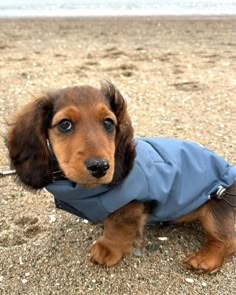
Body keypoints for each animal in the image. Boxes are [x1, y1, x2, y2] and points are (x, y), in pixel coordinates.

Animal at [6, 82, 235, 274]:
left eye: (108, 123)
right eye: (65, 124)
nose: (100, 167)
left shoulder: (130, 204)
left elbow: (116, 228)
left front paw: (106, 249)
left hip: (216, 204)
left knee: (227, 239)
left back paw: (205, 258)